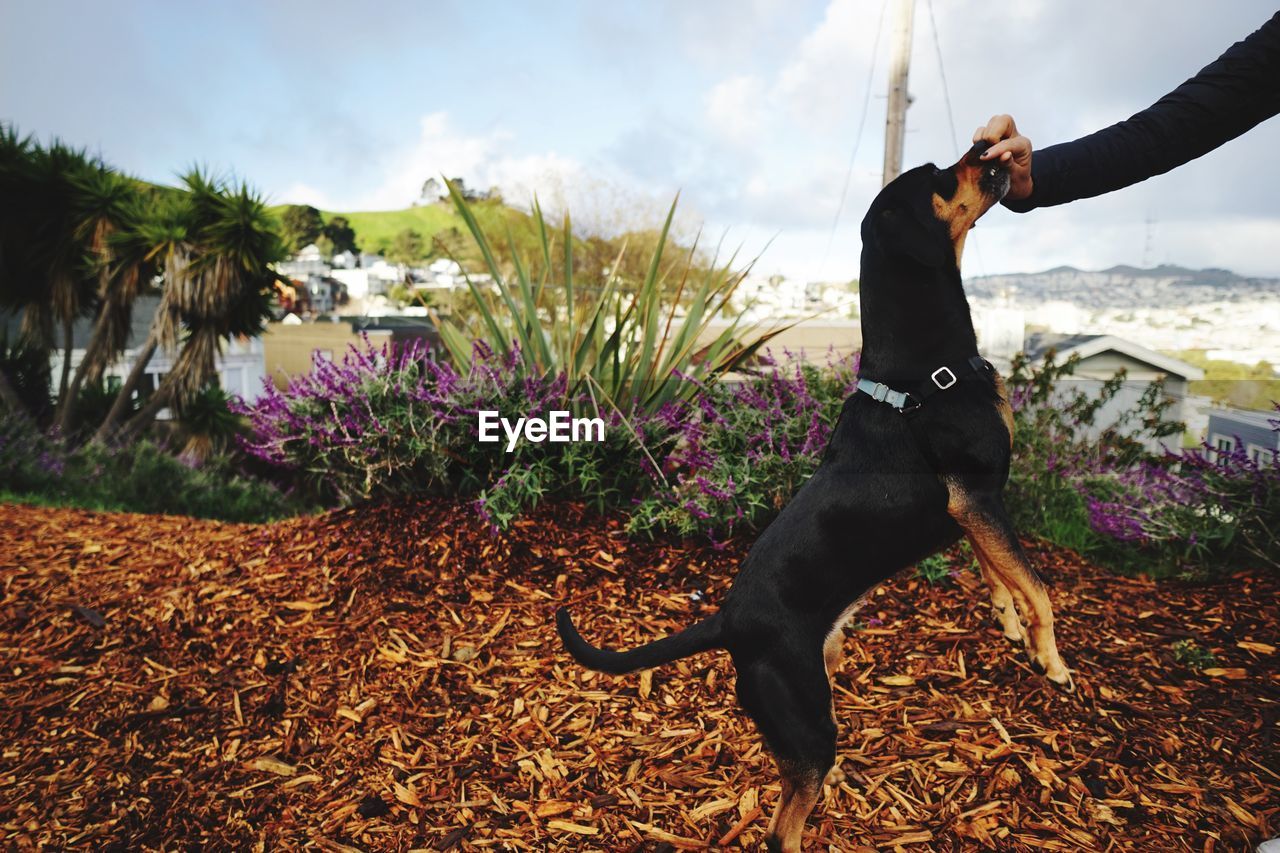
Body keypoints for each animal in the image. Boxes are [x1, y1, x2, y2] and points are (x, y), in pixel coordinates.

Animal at [558, 142, 1070, 845]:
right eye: (940, 175)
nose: (992, 151)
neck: (927, 373)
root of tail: (728, 622)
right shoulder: (977, 497)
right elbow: (1038, 584)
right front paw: (1053, 660)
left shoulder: (973, 509)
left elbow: (1001, 572)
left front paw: (1010, 623)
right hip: (806, 720)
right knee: (782, 829)